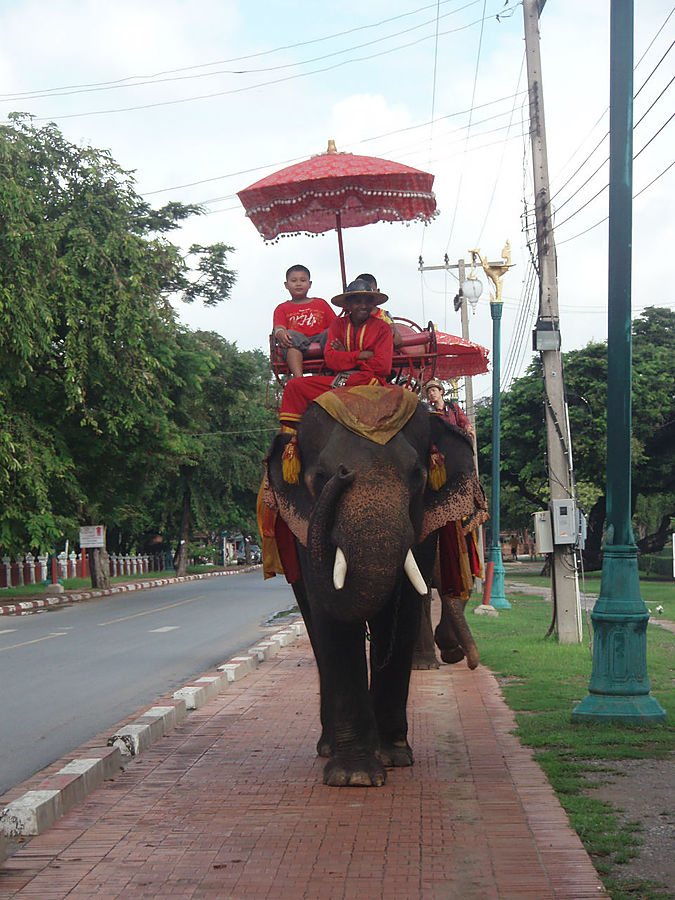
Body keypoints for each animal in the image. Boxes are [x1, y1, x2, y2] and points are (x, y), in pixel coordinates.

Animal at [262, 386, 486, 788]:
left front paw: (393, 757)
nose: (343, 474)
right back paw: (328, 747)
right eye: (320, 476)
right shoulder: (305, 530)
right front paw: (355, 777)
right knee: (315, 628)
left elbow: (408, 605)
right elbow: (330, 615)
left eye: (417, 474)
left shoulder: (424, 526)